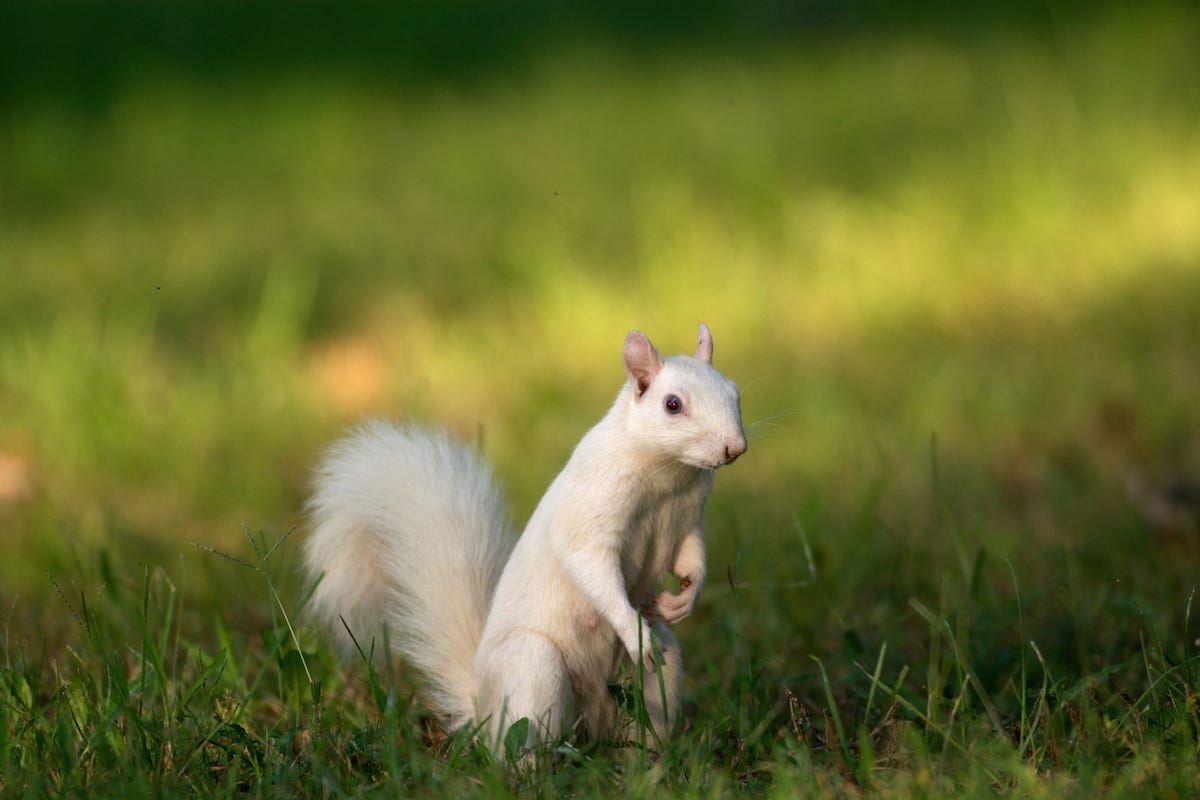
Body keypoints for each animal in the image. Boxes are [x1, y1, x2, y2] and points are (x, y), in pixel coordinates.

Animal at [303, 323, 747, 753]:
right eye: (672, 404)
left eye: (734, 391)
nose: (735, 448)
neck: (670, 475)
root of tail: (482, 706)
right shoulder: (592, 506)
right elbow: (588, 562)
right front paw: (634, 630)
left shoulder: (687, 522)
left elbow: (691, 559)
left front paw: (682, 600)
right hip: (533, 667)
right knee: (523, 740)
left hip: (656, 678)